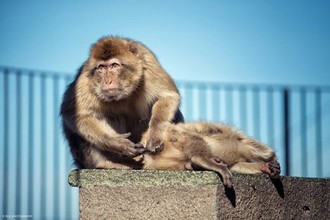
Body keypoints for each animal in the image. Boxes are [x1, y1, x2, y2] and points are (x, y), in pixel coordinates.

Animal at [138, 122, 280, 187]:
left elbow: (236, 166)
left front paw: (267, 167)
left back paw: (193, 165)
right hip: (169, 134)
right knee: (191, 136)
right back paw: (200, 160)